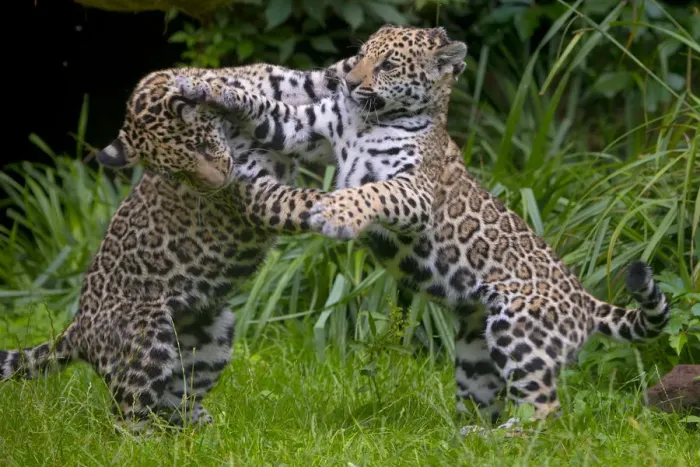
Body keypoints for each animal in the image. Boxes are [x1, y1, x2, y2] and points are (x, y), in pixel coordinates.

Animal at [0, 56, 360, 433]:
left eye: (201, 145)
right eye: (176, 174)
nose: (219, 183)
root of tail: (78, 328)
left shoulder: (296, 86)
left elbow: (336, 73)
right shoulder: (261, 200)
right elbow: (307, 201)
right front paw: (358, 204)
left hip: (212, 335)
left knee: (177, 400)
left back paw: (209, 436)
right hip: (146, 341)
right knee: (127, 416)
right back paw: (152, 442)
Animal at [176, 23, 670, 428]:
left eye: (389, 64)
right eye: (361, 56)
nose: (348, 83)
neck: (368, 119)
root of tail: (586, 300)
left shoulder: (413, 192)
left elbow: (370, 193)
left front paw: (334, 213)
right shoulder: (305, 127)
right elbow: (264, 107)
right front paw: (207, 88)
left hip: (521, 330)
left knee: (546, 409)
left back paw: (504, 439)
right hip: (475, 350)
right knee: (487, 397)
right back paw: (468, 436)